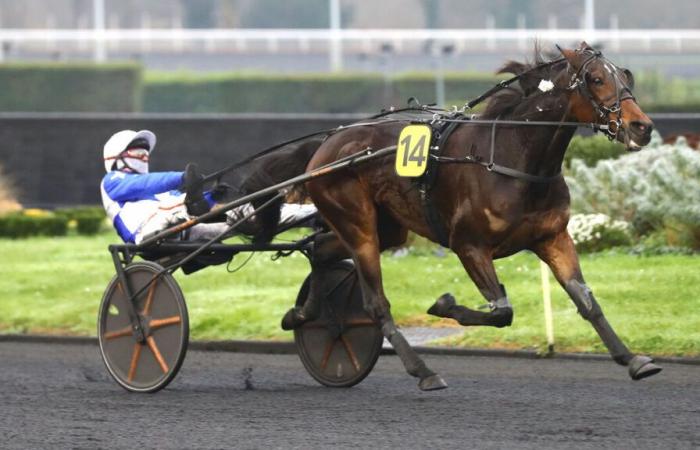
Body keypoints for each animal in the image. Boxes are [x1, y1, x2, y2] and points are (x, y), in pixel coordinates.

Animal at [243, 42, 660, 390]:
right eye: (596, 79)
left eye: (626, 75)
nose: (643, 126)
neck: (511, 156)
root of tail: (326, 145)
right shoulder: (468, 244)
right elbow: (502, 311)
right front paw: (443, 304)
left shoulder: (552, 237)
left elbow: (587, 302)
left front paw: (633, 359)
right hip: (358, 225)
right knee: (375, 302)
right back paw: (423, 371)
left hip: (387, 229)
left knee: (320, 250)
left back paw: (304, 314)